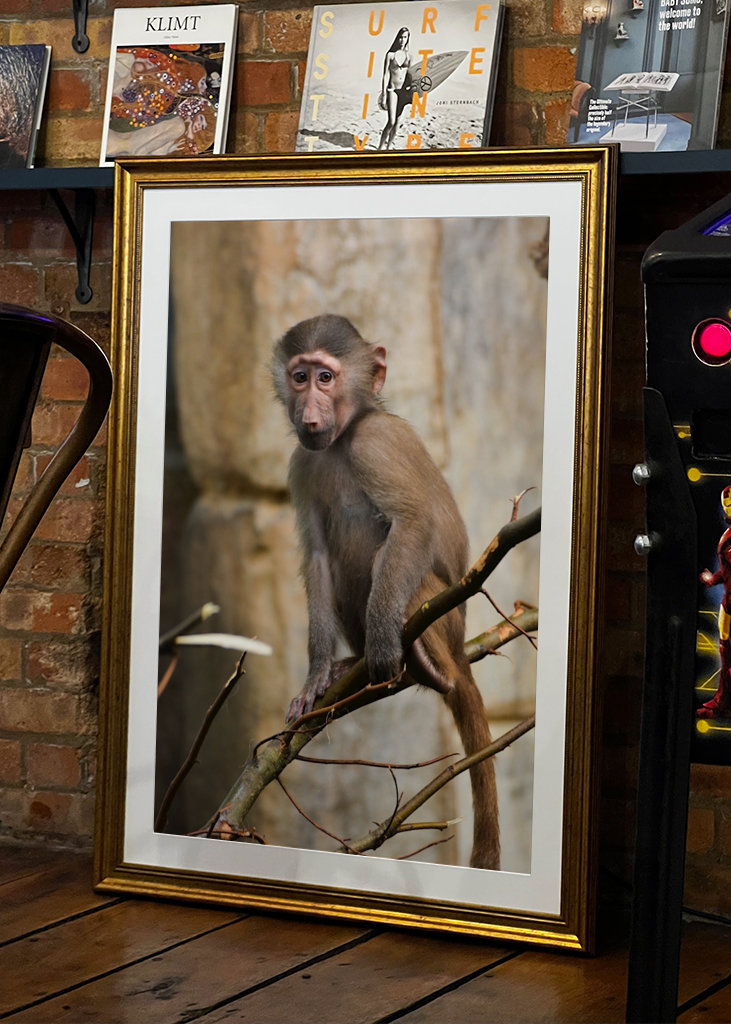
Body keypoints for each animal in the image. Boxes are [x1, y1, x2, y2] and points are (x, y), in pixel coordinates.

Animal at [272, 313, 499, 870]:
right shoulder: (302, 463)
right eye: (299, 377)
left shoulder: (375, 443)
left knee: (391, 559)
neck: (344, 437)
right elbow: (317, 559)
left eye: (326, 377)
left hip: (444, 615)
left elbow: (412, 523)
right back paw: (349, 666)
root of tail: (459, 648)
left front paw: (380, 643)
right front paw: (315, 674)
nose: (309, 412)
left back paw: (421, 663)